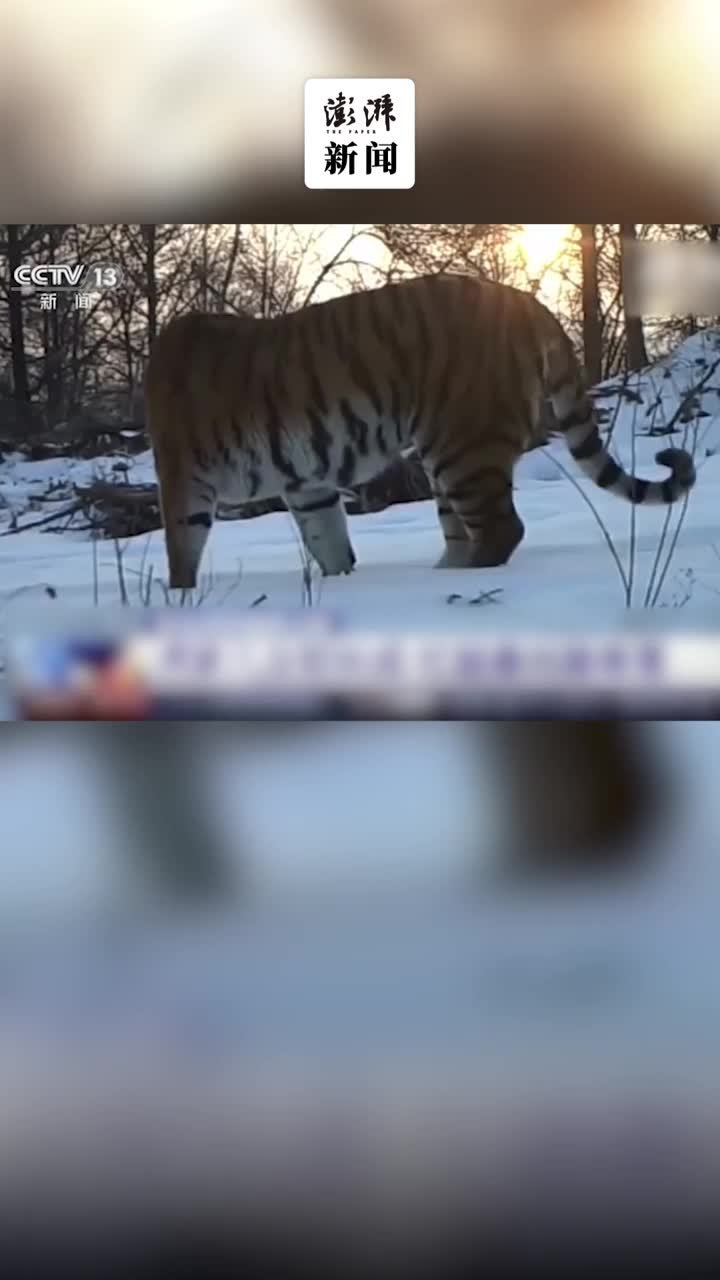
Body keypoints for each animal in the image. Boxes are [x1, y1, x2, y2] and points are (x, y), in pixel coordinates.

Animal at [144, 275, 696, 588]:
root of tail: (524, 300)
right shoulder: (309, 486)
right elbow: (329, 541)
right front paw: (340, 586)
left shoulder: (183, 476)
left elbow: (181, 551)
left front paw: (178, 600)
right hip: (451, 464)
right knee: (467, 535)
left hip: (464, 449)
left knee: (502, 530)